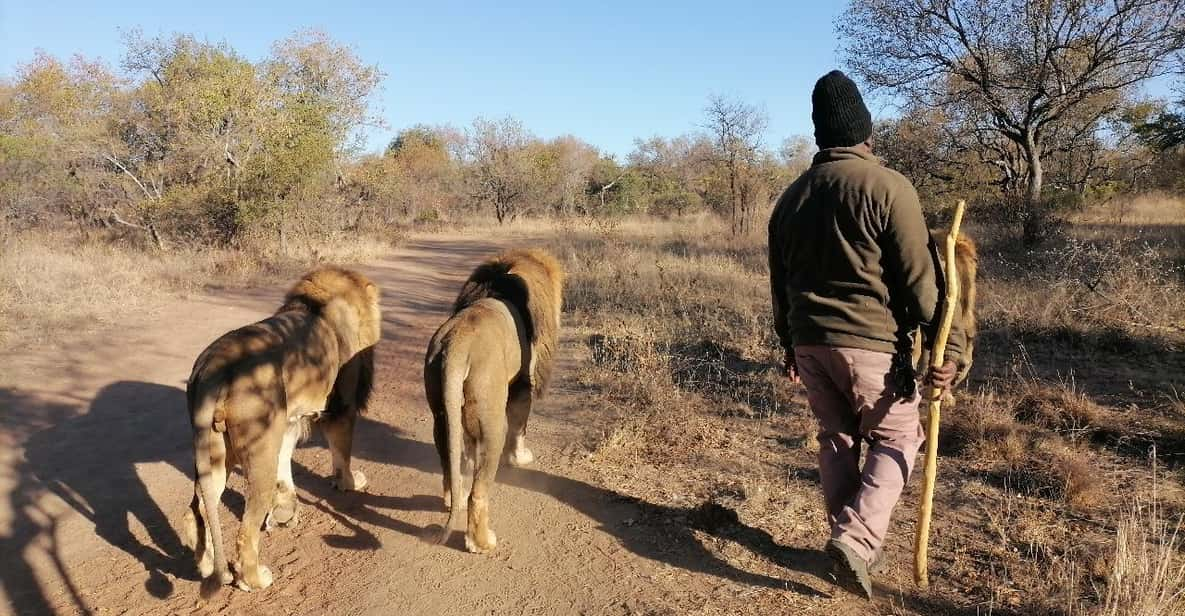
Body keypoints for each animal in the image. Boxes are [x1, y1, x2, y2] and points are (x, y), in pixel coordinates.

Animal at [180, 266, 379, 594]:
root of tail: (213, 368)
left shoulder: (287, 420)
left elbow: (286, 463)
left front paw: (285, 511)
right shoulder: (342, 407)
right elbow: (342, 452)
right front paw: (350, 482)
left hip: (216, 450)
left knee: (196, 510)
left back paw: (208, 566)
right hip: (259, 449)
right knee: (245, 531)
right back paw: (254, 579)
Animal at [426, 248, 564, 554]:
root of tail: (457, 343)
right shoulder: (523, 385)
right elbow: (520, 427)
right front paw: (520, 458)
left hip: (441, 414)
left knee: (450, 466)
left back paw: (453, 496)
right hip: (492, 421)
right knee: (477, 494)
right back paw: (481, 542)